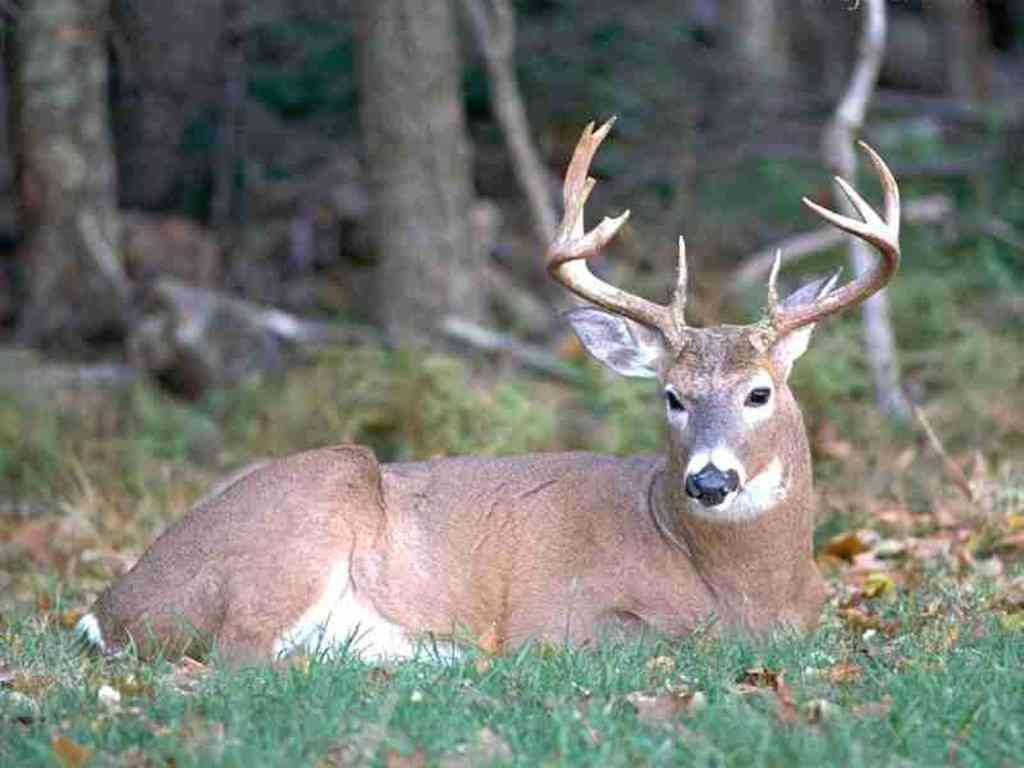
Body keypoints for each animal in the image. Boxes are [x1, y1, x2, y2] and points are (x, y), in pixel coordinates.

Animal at [77, 119, 900, 664]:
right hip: (310, 505)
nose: (708, 480)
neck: (749, 588)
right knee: (237, 656)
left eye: (759, 392)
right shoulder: (561, 612)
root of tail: (107, 609)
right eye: (672, 395)